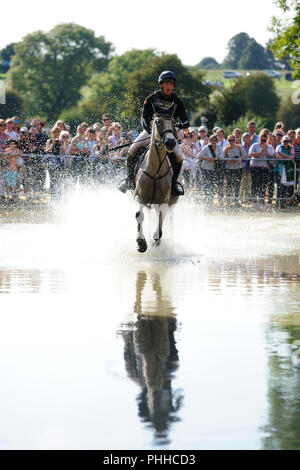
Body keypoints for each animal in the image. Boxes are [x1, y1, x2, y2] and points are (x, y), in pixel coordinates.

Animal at [134, 113, 178, 253]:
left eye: (174, 122)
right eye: (158, 122)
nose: (170, 142)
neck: (155, 171)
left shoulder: (163, 201)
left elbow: (161, 218)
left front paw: (156, 239)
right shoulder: (140, 197)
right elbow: (139, 215)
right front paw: (141, 243)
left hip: (171, 203)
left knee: (170, 219)